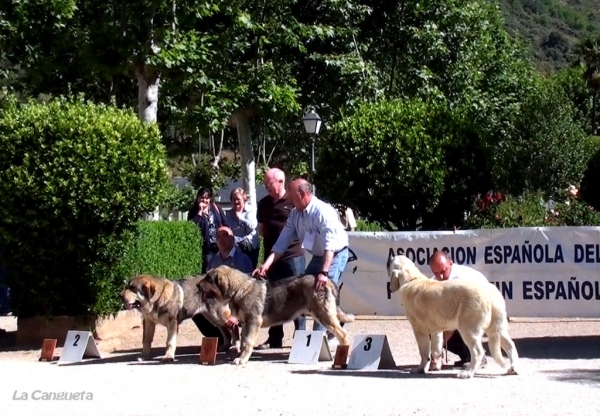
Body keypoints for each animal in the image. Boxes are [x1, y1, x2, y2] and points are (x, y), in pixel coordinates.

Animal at [386, 255, 516, 378]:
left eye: (393, 260)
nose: (389, 257)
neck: (412, 279)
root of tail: (491, 293)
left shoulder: (419, 330)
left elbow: (424, 353)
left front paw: (420, 369)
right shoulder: (435, 330)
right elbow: (435, 348)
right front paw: (435, 365)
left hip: (468, 329)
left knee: (478, 352)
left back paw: (468, 373)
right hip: (497, 328)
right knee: (510, 345)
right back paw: (513, 369)